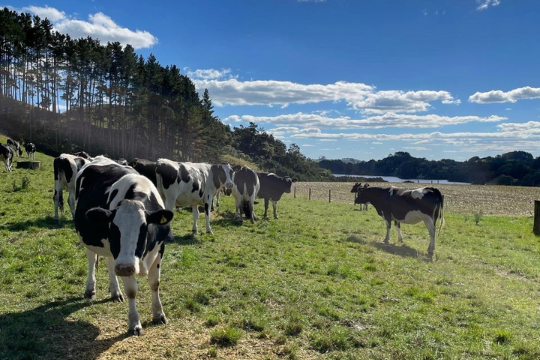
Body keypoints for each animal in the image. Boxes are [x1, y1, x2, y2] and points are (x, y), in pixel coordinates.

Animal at [74, 156, 173, 336]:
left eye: (144, 228)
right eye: (113, 228)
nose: (125, 268)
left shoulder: (160, 249)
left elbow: (155, 283)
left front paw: (158, 314)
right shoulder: (120, 256)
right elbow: (132, 290)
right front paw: (134, 323)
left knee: (109, 262)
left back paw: (115, 292)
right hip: (90, 239)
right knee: (92, 259)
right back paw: (90, 289)